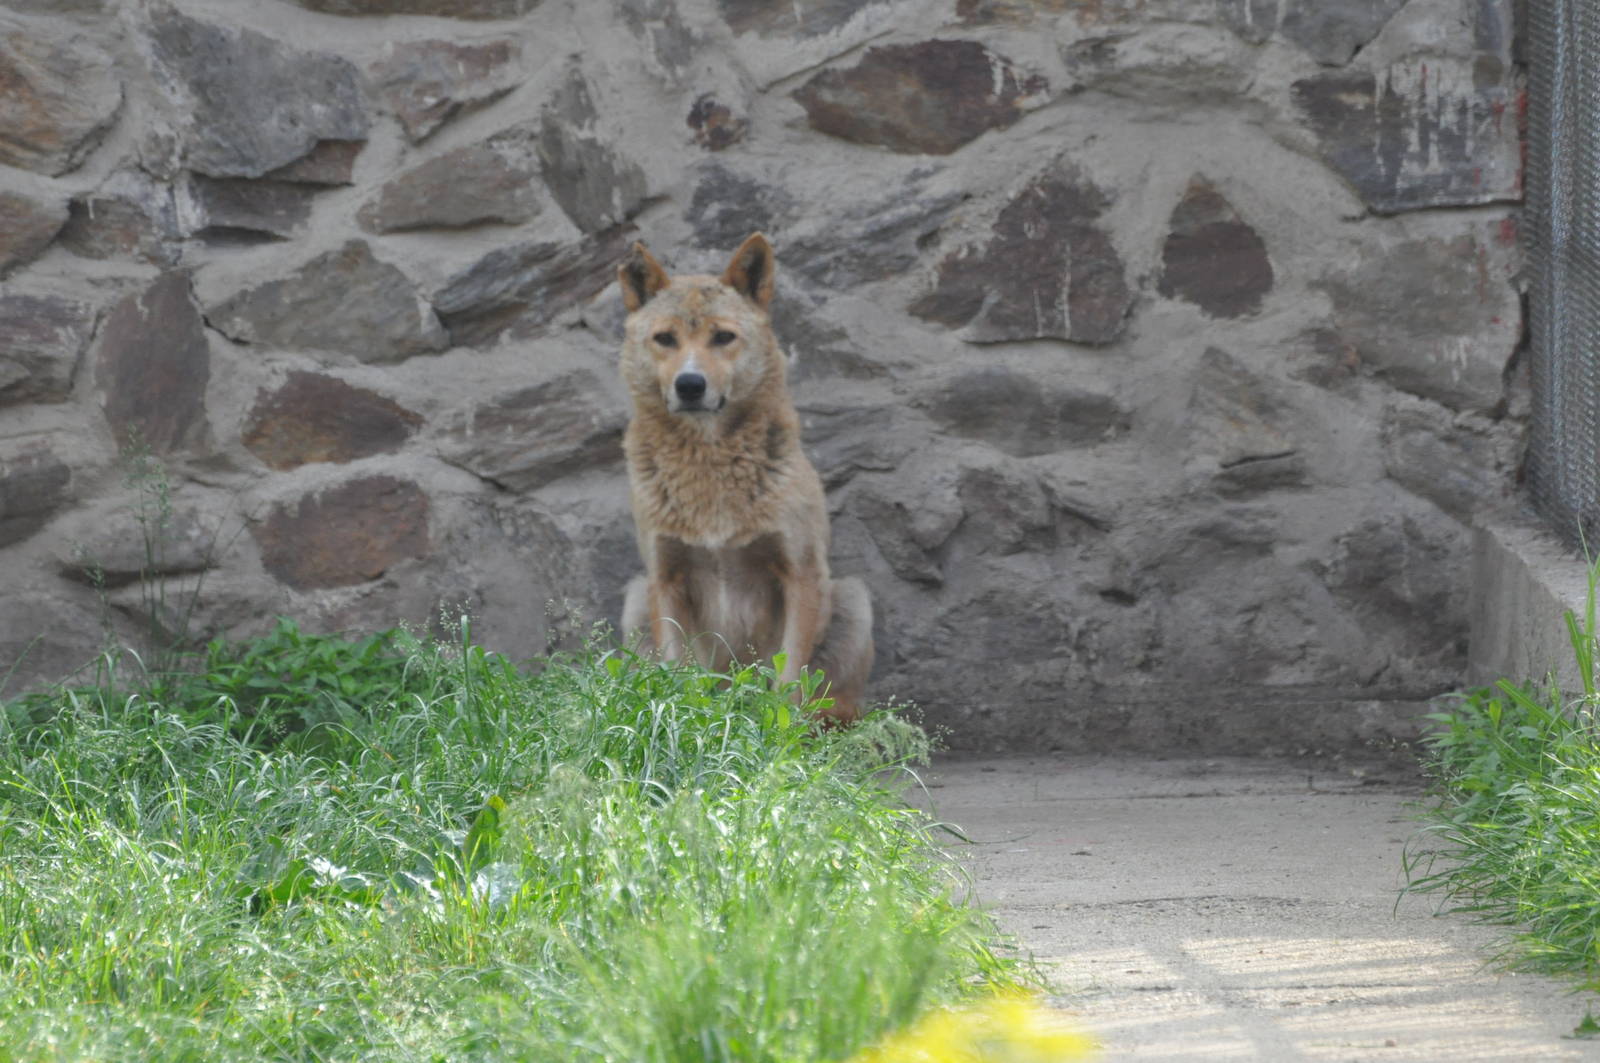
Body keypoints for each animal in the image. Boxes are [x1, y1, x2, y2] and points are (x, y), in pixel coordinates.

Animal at [616, 232, 873, 724]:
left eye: (723, 337)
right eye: (665, 339)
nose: (690, 385)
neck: (709, 466)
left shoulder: (799, 572)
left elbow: (789, 682)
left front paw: (778, 734)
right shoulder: (664, 577)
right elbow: (680, 674)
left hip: (852, 599)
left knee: (836, 705)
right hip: (636, 598)